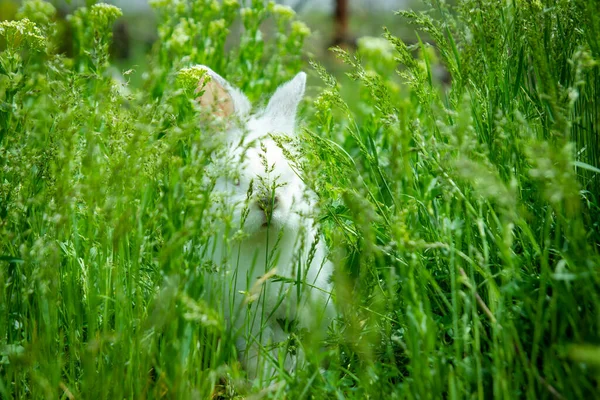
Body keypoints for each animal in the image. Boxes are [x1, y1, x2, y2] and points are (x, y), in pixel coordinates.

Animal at [197, 65, 338, 382]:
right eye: (235, 179)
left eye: (290, 174)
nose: (267, 201)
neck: (264, 242)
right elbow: (262, 352)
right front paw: (270, 381)